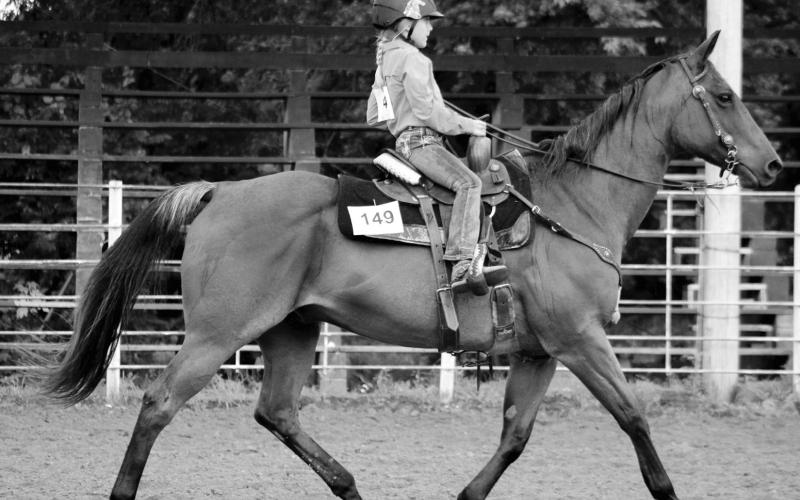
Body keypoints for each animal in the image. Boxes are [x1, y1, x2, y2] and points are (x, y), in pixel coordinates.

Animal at [41, 32, 781, 500]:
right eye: (721, 95)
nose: (773, 164)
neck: (573, 204)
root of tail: (221, 192)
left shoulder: (538, 351)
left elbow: (515, 436)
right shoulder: (580, 340)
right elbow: (635, 420)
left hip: (293, 329)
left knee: (277, 413)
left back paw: (350, 487)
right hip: (217, 333)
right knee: (159, 403)